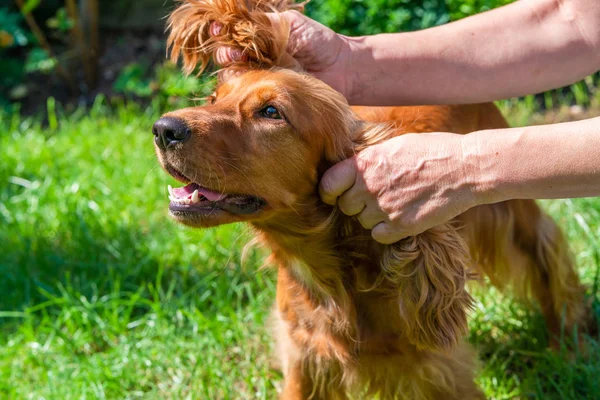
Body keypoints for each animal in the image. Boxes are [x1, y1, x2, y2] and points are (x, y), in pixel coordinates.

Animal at [154, 1, 592, 398]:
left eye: (271, 112)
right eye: (214, 98)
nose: (163, 129)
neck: (330, 274)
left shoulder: (441, 370)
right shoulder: (305, 362)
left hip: (510, 215)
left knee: (549, 260)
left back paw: (568, 347)